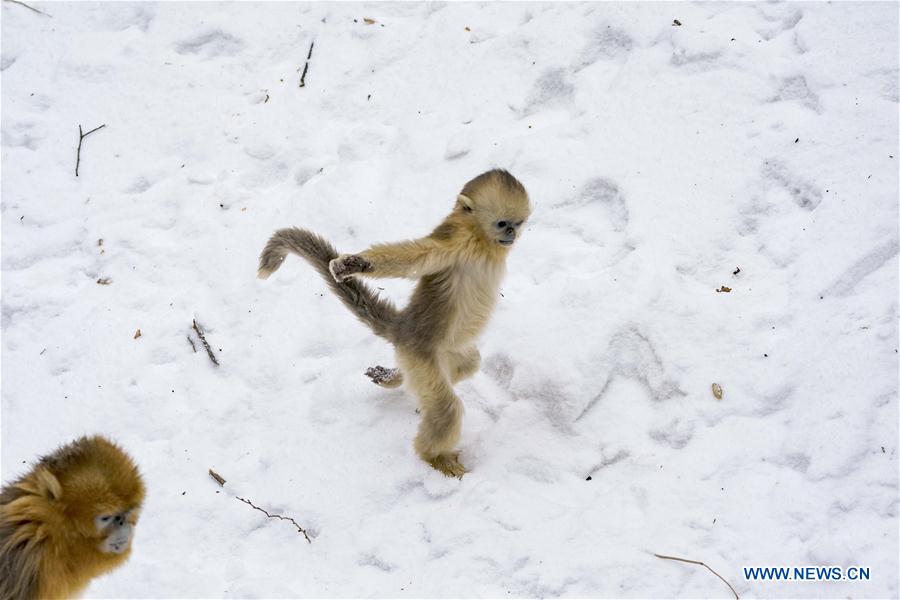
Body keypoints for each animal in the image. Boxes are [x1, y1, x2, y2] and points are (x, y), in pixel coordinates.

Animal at [256, 169, 532, 478]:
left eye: (517, 224)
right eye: (502, 224)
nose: (511, 234)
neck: (483, 243)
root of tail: (403, 327)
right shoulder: (455, 241)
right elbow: (419, 255)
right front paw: (354, 264)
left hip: (444, 352)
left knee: (468, 364)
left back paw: (395, 378)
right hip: (420, 357)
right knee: (447, 408)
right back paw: (434, 457)